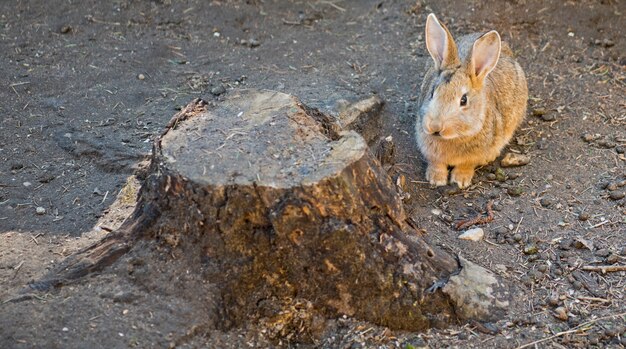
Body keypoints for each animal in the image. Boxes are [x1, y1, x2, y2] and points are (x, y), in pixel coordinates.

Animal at [414, 13, 528, 188]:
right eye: (432, 92)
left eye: (463, 100)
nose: (435, 127)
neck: (453, 137)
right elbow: (436, 163)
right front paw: (436, 179)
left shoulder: (475, 155)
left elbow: (466, 165)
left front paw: (461, 180)